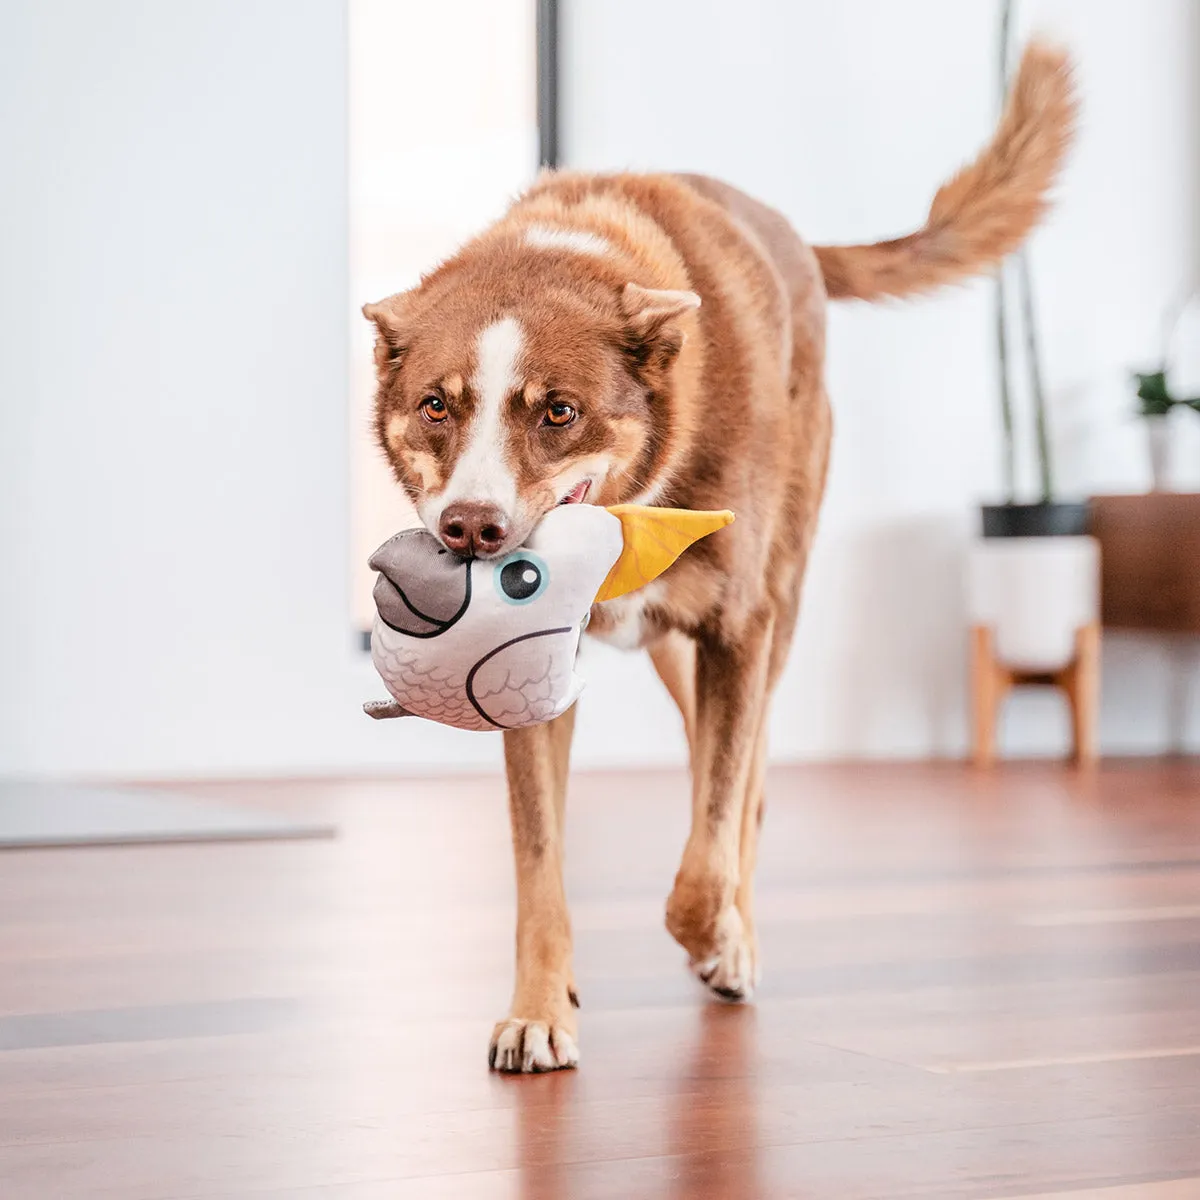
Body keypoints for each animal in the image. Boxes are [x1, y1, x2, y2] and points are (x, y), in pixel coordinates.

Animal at [362, 42, 1080, 1075]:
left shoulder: (739, 628)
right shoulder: (535, 675)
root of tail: (797, 242)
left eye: (558, 411)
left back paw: (734, 931)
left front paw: (715, 935)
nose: (470, 529)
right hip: (674, 648)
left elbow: (707, 847)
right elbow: (541, 861)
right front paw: (540, 1007)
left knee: (744, 784)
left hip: (775, 601)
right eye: (435, 406)